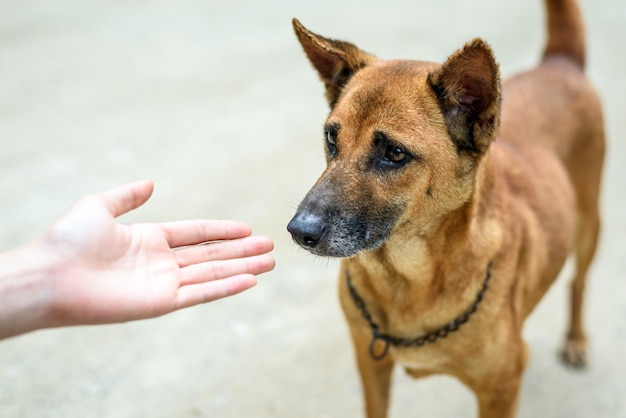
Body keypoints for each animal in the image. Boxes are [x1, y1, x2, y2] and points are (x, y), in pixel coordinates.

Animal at [286, 0, 604, 418]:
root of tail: (558, 62)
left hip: (589, 225)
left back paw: (577, 340)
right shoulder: (371, 366)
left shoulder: (500, 388)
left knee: (579, 281)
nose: (298, 231)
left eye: (394, 153)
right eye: (331, 138)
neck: (406, 280)